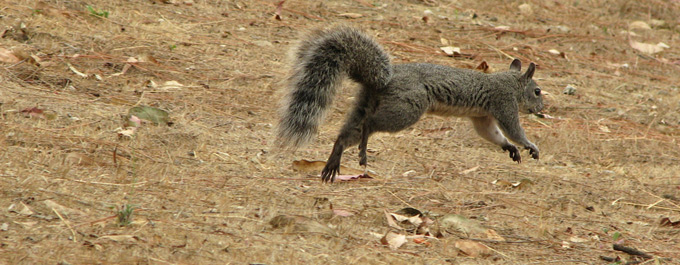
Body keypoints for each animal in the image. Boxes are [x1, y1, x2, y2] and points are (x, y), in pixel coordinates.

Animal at [274, 25, 544, 183]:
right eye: (537, 91)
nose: (542, 110)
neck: (509, 82)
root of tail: (384, 81)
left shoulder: (483, 116)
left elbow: (491, 133)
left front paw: (509, 148)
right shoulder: (503, 102)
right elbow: (513, 129)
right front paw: (529, 145)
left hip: (365, 103)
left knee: (347, 134)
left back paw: (333, 163)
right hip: (407, 109)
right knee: (370, 124)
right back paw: (362, 152)